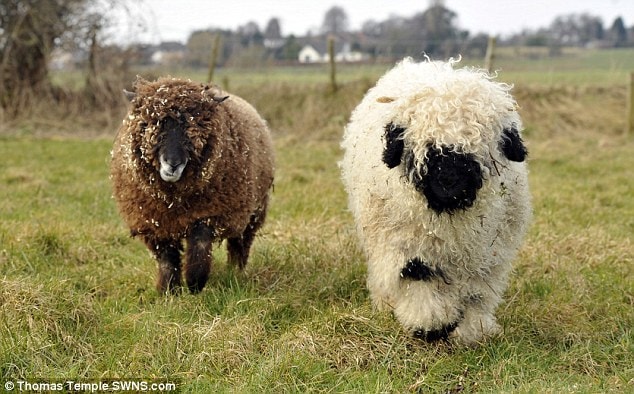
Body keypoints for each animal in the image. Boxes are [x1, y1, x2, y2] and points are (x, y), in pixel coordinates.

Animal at [110, 76, 272, 292]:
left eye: (196, 129)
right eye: (150, 124)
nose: (173, 163)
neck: (173, 199)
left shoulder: (209, 213)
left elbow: (200, 243)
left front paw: (195, 282)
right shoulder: (154, 222)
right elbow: (166, 258)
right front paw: (168, 290)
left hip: (253, 211)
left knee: (240, 244)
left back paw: (235, 272)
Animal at [340, 57, 528, 344]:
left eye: (477, 143)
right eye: (424, 147)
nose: (448, 181)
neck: (450, 216)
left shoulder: (487, 255)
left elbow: (476, 294)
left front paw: (471, 331)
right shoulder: (408, 246)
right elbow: (419, 278)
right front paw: (430, 325)